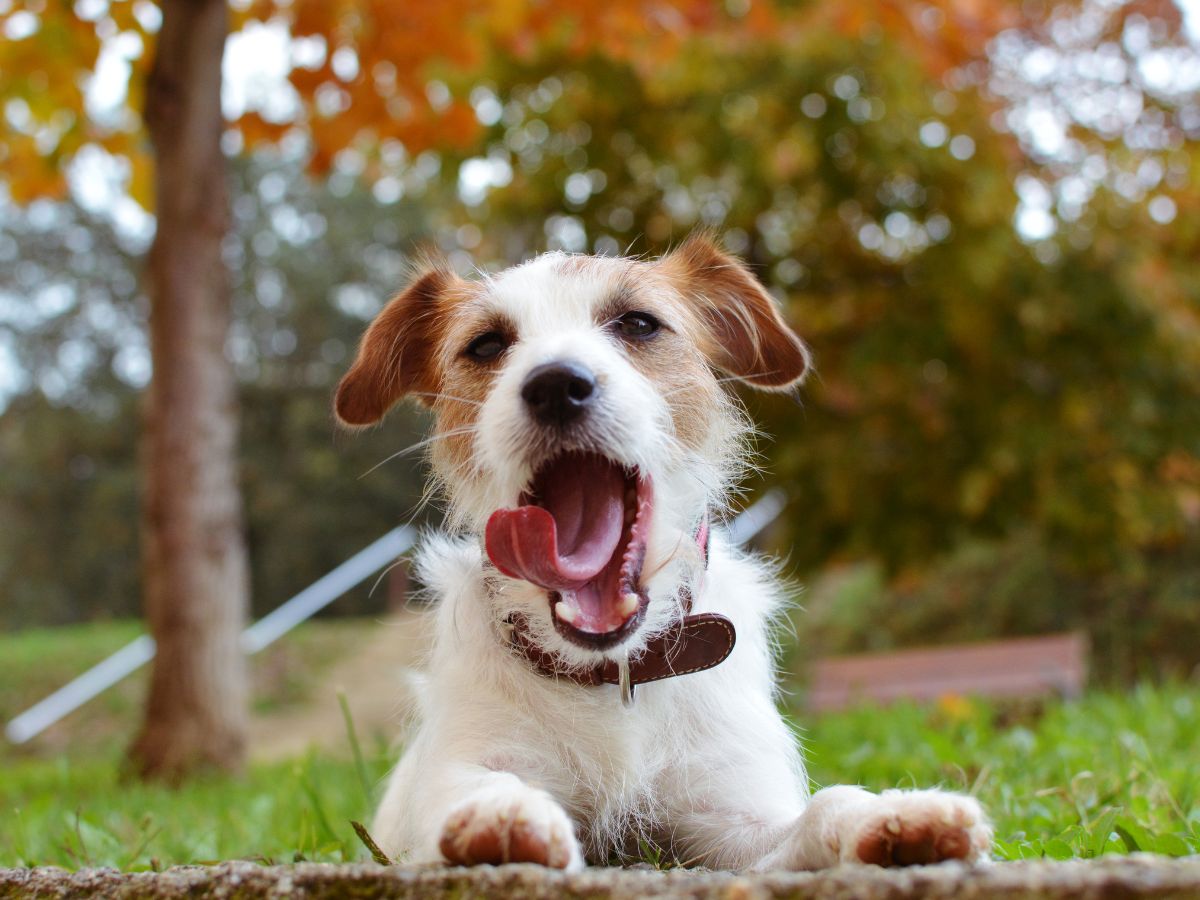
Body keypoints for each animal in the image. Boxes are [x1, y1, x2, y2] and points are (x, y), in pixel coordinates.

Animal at [338, 234, 993, 873]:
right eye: (487, 344)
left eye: (638, 324)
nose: (555, 385)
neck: (615, 674)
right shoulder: (463, 767)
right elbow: (475, 788)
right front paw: (498, 818)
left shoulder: (739, 820)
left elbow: (823, 807)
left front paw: (891, 815)